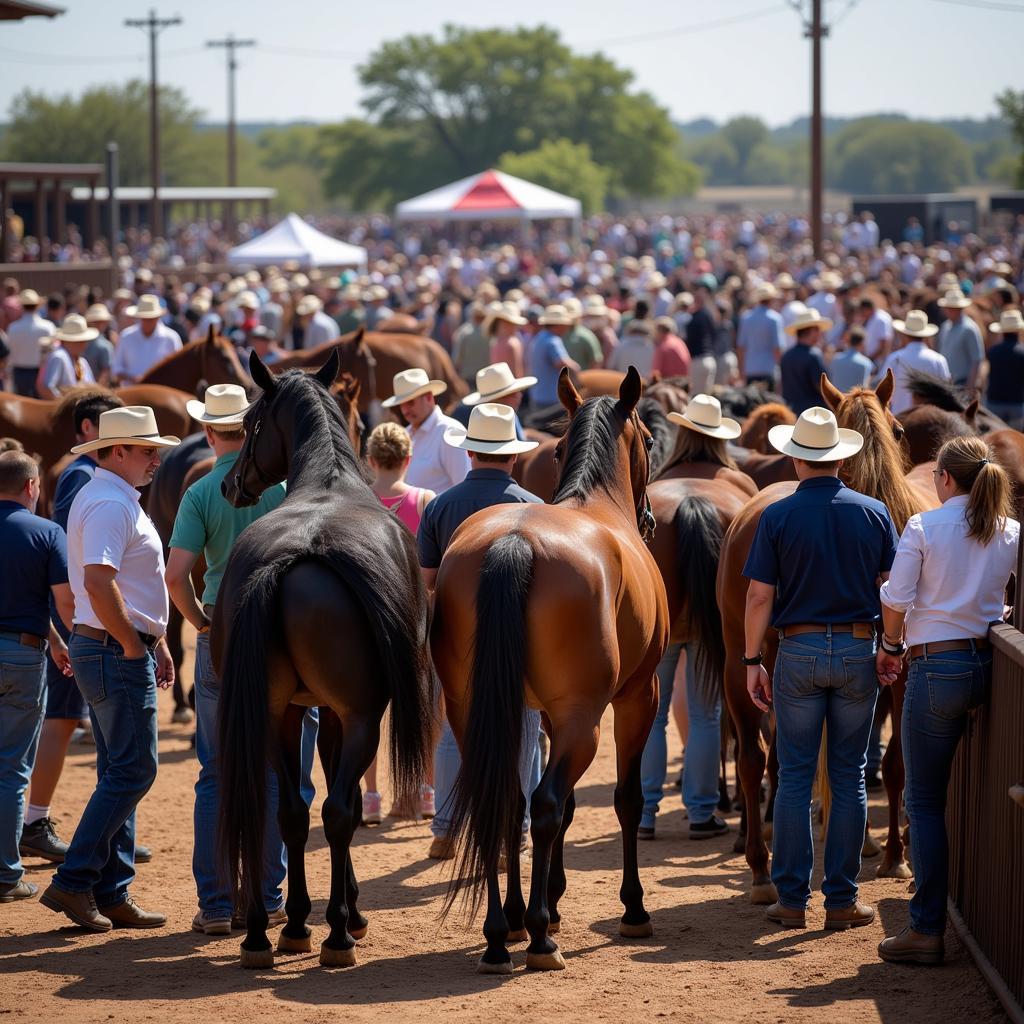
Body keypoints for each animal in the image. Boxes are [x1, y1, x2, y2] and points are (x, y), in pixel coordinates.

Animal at [216, 350, 432, 966]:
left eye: (248, 423)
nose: (231, 483)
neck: (329, 480)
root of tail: (293, 557)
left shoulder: (301, 709)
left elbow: (301, 809)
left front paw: (300, 919)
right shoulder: (344, 713)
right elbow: (347, 804)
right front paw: (349, 912)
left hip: (270, 715)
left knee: (285, 812)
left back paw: (269, 932)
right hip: (360, 716)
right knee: (336, 812)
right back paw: (337, 932)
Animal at [430, 370, 663, 974]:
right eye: (651, 440)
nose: (650, 519)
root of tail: (514, 541)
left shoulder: (544, 715)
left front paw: (548, 902)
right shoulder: (637, 697)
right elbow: (624, 800)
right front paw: (631, 909)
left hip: (475, 712)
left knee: (505, 804)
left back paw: (501, 931)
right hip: (587, 721)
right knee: (546, 802)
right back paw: (537, 938)